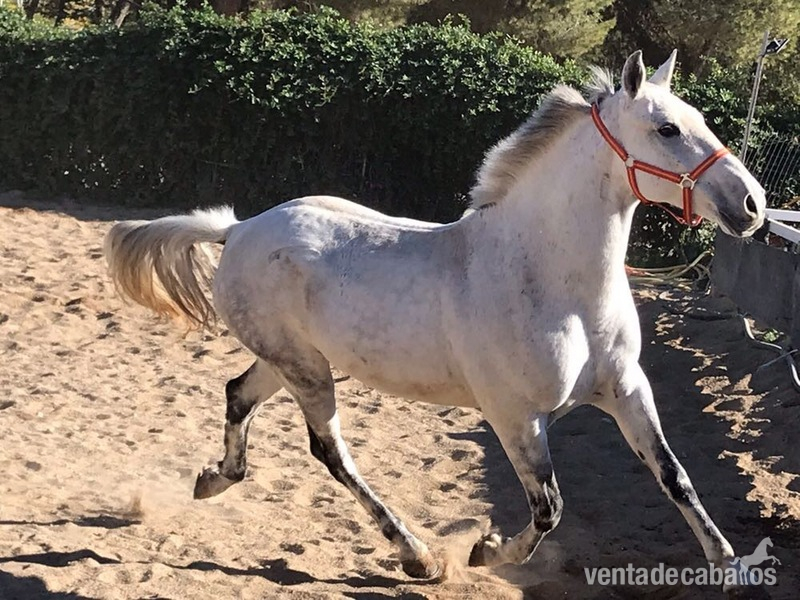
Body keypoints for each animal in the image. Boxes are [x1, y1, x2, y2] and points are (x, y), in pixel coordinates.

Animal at [104, 50, 766, 590]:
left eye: (700, 118)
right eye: (667, 128)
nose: (752, 206)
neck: (556, 284)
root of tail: (238, 229)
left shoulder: (627, 390)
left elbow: (675, 477)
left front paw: (730, 566)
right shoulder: (515, 417)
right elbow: (548, 508)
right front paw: (485, 551)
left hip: (290, 361)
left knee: (238, 394)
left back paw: (214, 479)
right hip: (305, 371)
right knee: (330, 451)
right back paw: (416, 555)